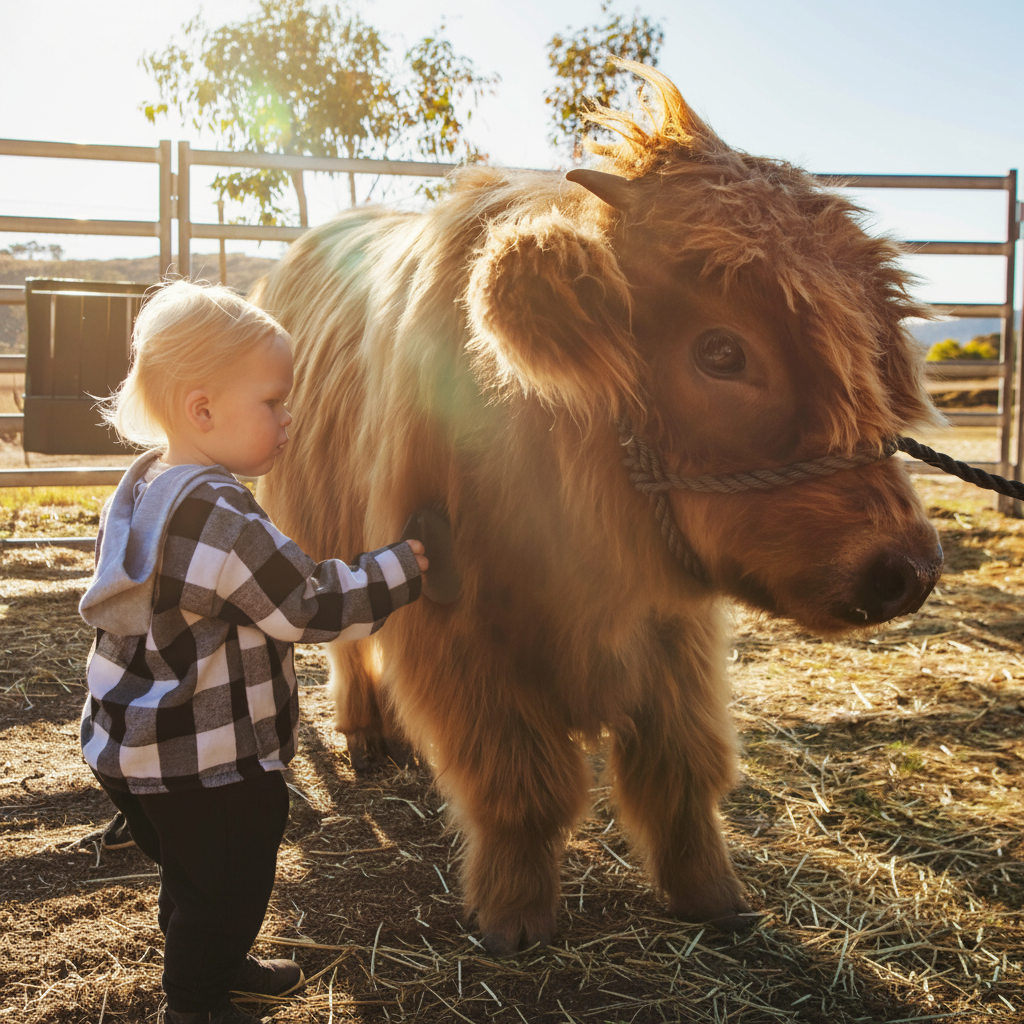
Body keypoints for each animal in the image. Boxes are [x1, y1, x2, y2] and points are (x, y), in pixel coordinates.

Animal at [252, 64, 943, 955]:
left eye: (870, 349)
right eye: (721, 351)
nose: (909, 568)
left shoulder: (675, 633)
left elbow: (679, 770)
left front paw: (712, 894)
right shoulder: (459, 628)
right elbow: (520, 785)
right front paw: (514, 915)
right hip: (317, 530)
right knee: (348, 643)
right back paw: (369, 732)